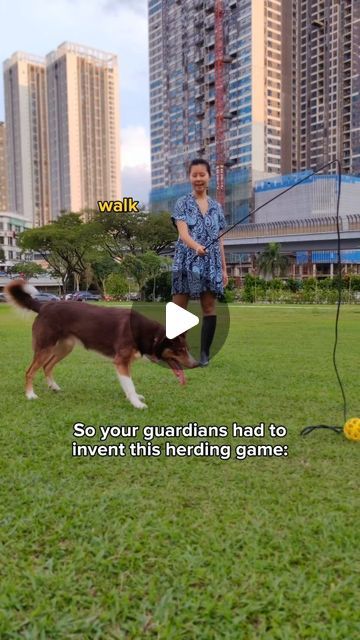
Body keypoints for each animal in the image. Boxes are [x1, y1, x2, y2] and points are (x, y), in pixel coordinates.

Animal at [4, 280, 197, 410]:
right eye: (180, 350)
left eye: (187, 349)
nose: (197, 364)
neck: (149, 335)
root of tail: (44, 306)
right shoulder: (120, 361)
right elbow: (130, 384)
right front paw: (136, 403)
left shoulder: (125, 362)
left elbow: (129, 384)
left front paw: (133, 398)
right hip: (45, 347)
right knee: (30, 371)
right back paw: (30, 394)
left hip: (64, 348)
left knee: (47, 366)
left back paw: (54, 387)